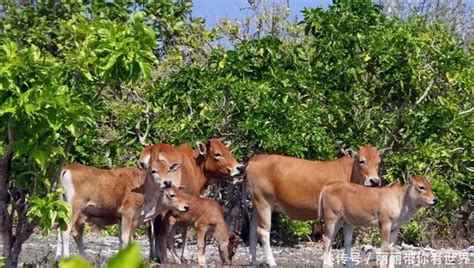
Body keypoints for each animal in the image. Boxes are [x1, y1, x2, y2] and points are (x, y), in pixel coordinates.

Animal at [55, 154, 187, 260]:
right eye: (153, 170)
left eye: (168, 169)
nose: (167, 183)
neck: (142, 189)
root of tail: (67, 169)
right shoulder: (128, 213)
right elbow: (125, 238)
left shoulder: (120, 218)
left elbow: (120, 239)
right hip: (75, 208)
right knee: (67, 231)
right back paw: (66, 258)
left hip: (62, 206)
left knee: (59, 229)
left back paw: (58, 259)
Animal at [244, 144, 388, 266]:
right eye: (361, 161)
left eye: (378, 162)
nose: (375, 181)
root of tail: (255, 159)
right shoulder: (331, 215)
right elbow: (329, 238)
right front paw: (327, 263)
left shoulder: (349, 218)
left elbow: (347, 241)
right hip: (264, 202)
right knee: (263, 231)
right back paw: (272, 262)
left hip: (258, 204)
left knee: (252, 227)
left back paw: (253, 261)